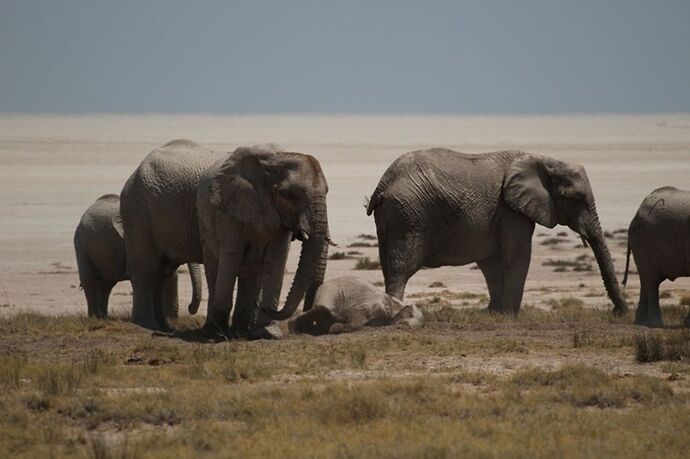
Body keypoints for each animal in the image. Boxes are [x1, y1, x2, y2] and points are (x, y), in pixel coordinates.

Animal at [73, 194, 202, 320]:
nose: (189, 307)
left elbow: (171, 276)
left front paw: (171, 319)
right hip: (81, 242)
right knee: (89, 280)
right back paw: (94, 317)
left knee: (106, 284)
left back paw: (103, 318)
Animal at [196, 144, 330, 338]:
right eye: (290, 195)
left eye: (327, 192)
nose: (267, 308)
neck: (277, 159)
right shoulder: (229, 207)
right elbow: (231, 255)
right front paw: (217, 335)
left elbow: (277, 259)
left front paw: (269, 332)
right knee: (214, 267)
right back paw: (214, 330)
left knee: (252, 273)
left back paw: (241, 330)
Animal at [284, 274, 420, 336]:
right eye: (410, 315)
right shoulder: (374, 304)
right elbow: (356, 315)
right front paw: (336, 328)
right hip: (329, 291)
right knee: (321, 308)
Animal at [366, 150, 628, 316]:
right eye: (572, 198)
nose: (618, 312)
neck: (544, 159)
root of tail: (382, 185)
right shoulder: (512, 210)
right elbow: (518, 256)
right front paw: (510, 314)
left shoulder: (500, 215)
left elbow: (490, 262)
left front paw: (493, 312)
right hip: (409, 215)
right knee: (400, 269)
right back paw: (396, 312)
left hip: (393, 216)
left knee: (388, 264)